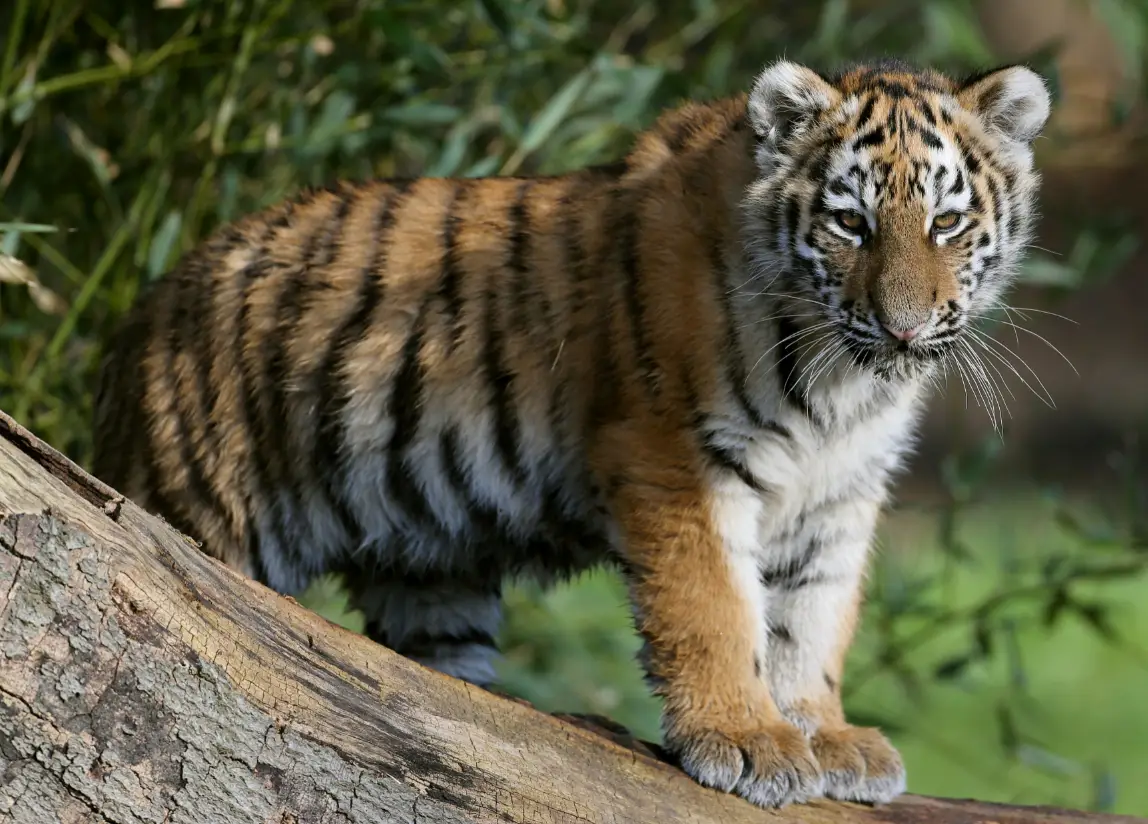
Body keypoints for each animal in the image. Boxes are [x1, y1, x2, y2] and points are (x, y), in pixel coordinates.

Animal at [91, 57, 1051, 808]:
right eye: (851, 223)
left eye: (946, 223)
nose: (904, 328)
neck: (847, 387)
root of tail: (141, 309)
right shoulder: (676, 457)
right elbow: (715, 606)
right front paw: (746, 739)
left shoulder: (840, 495)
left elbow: (812, 619)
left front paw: (826, 733)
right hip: (208, 518)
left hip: (432, 580)